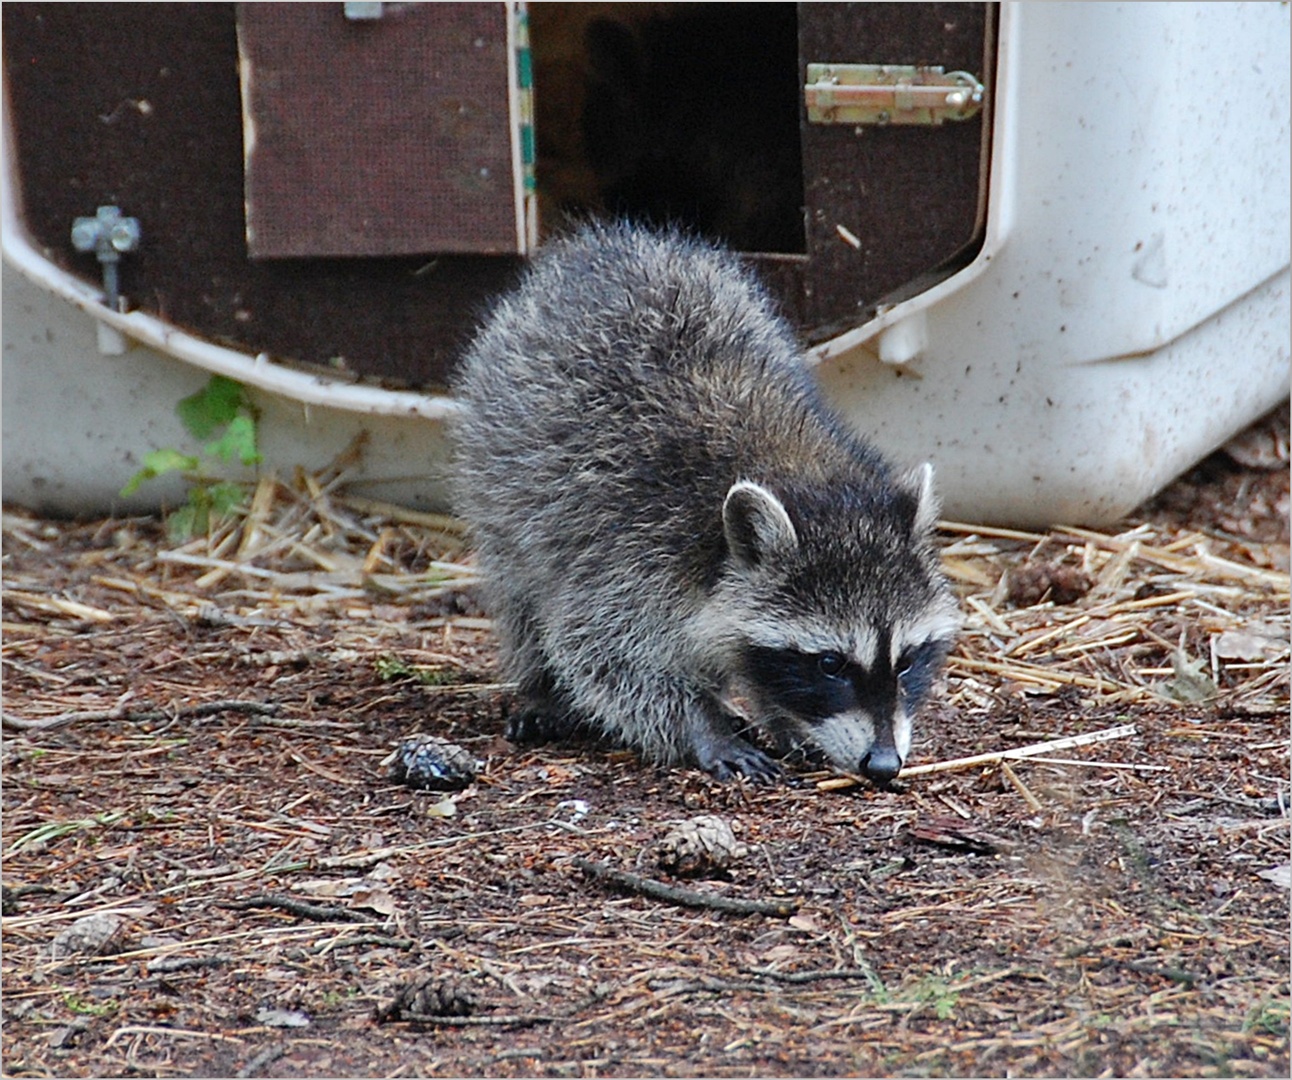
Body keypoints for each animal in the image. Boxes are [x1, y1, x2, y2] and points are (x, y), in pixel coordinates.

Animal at [454, 223, 961, 780]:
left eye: (907, 660)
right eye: (831, 664)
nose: (884, 765)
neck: (799, 470)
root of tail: (600, 244)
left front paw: (779, 715)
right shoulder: (628, 555)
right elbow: (601, 654)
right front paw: (702, 724)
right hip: (499, 477)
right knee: (522, 592)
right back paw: (541, 685)